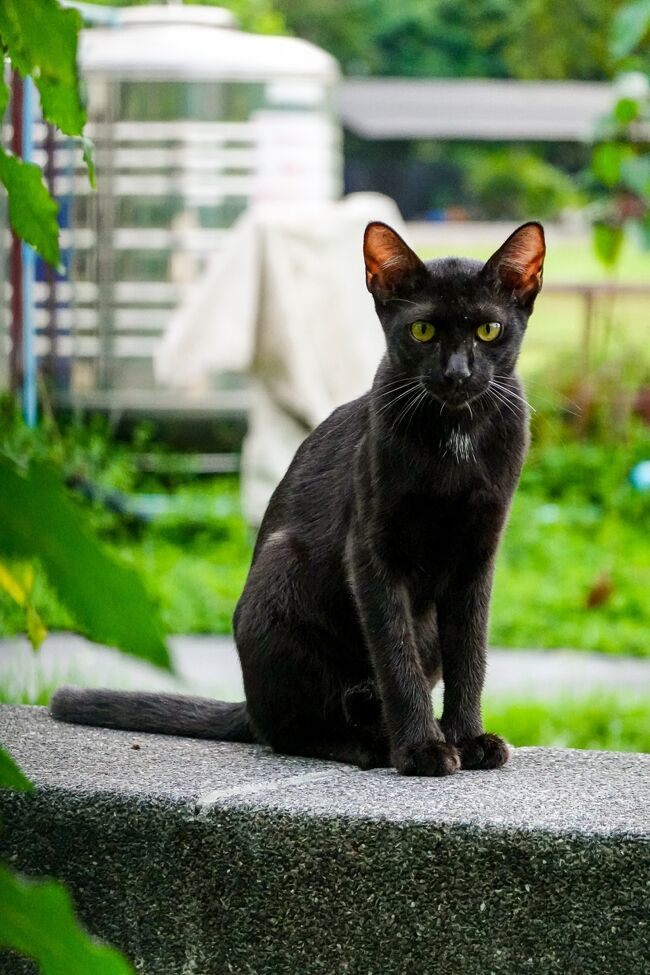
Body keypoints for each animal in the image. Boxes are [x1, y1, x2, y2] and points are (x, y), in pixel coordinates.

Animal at [53, 221, 544, 776]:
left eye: (489, 331)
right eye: (422, 332)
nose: (457, 374)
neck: (456, 437)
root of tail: (248, 705)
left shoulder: (476, 555)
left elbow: (470, 652)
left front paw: (468, 738)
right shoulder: (370, 552)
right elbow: (395, 656)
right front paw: (421, 749)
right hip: (280, 566)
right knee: (288, 731)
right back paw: (370, 744)